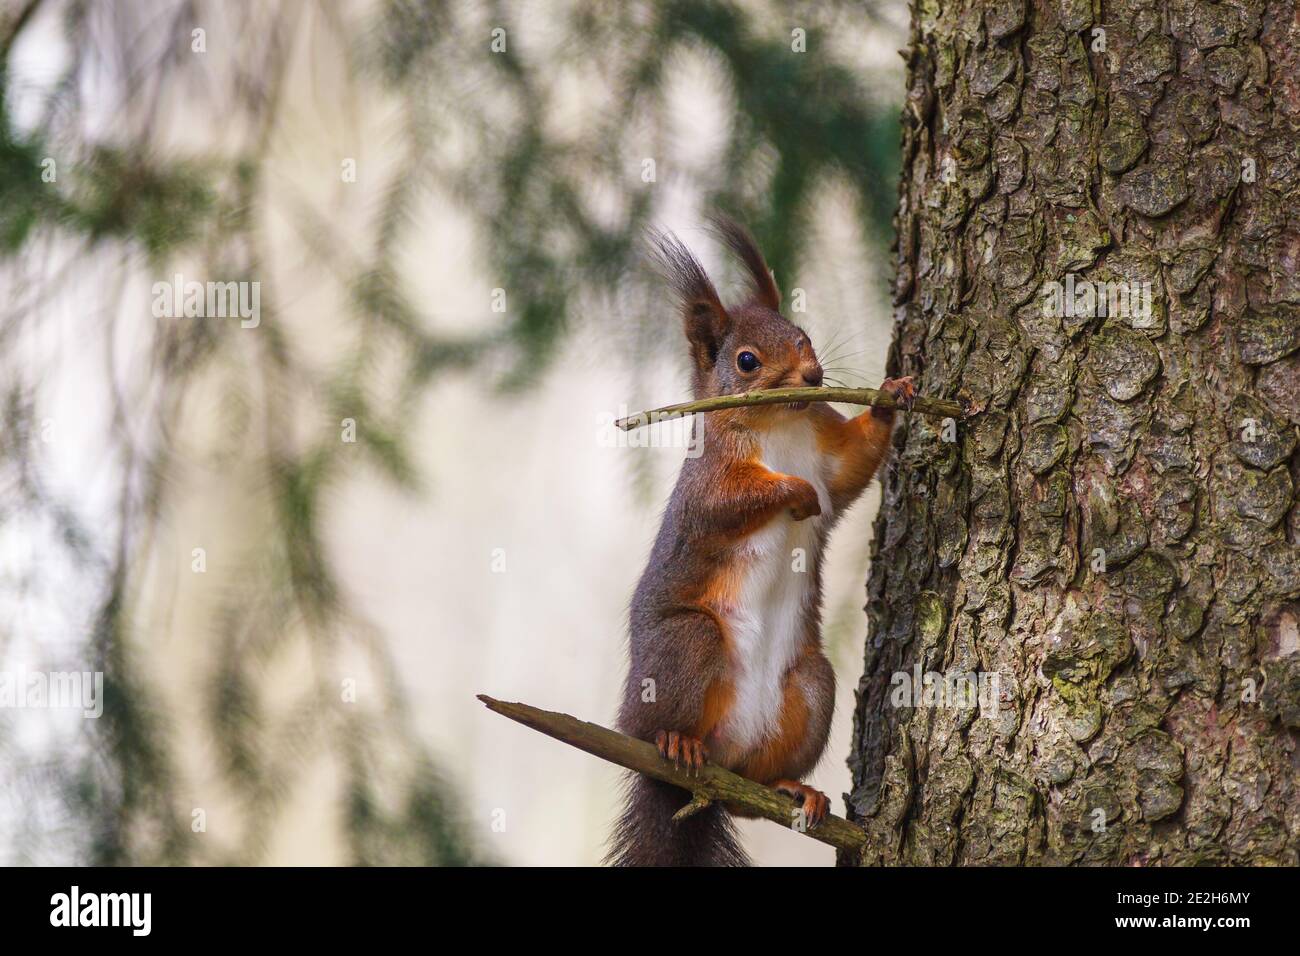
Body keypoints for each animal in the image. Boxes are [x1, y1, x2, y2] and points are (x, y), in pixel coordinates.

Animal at [607, 217, 915, 866]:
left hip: (811, 685)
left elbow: (852, 465)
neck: (782, 422)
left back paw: (794, 789)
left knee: (756, 791)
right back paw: (675, 742)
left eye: (803, 337)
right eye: (746, 361)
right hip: (683, 648)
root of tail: (721, 768)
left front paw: (889, 394)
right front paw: (792, 492)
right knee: (658, 731)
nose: (814, 376)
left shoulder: (829, 453)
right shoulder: (709, 482)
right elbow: (734, 503)